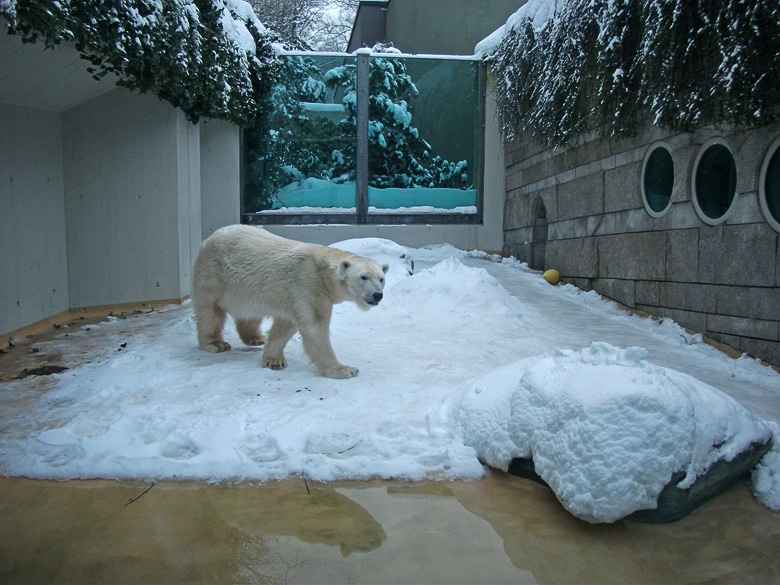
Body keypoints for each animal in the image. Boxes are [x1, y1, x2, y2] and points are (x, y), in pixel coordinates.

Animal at [192, 224, 386, 378]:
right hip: (213, 273)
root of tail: (211, 237)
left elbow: (286, 325)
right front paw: (345, 370)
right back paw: (215, 343)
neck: (322, 272)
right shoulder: (308, 284)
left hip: (248, 288)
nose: (377, 295)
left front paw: (273, 360)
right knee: (209, 309)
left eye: (381, 278)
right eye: (364, 277)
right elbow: (314, 328)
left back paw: (255, 338)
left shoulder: (297, 295)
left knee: (250, 312)